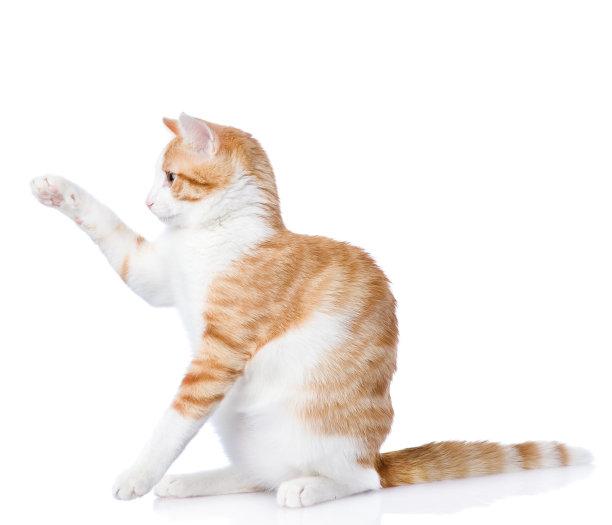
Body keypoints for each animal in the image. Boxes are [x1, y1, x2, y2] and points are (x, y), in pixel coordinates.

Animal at [30, 113, 591, 507]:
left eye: (169, 177)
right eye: (156, 181)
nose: (147, 202)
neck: (214, 234)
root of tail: (373, 453)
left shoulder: (219, 354)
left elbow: (173, 422)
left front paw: (138, 474)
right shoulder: (150, 275)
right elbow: (108, 226)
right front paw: (56, 189)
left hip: (317, 431)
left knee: (360, 482)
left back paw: (306, 489)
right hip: (238, 422)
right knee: (257, 474)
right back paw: (192, 482)